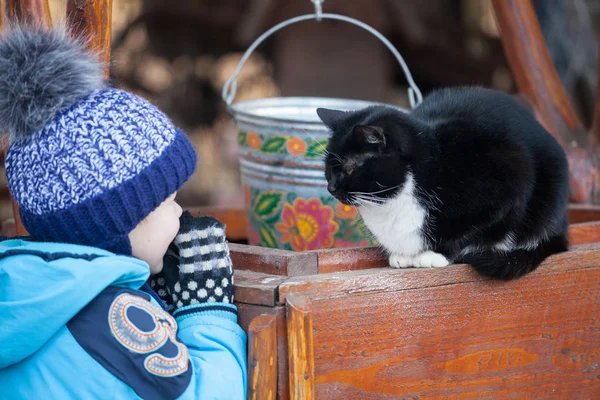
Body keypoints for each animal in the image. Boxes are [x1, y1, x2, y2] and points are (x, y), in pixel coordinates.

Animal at [316, 86, 568, 280]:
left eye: (349, 169)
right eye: (328, 169)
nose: (331, 187)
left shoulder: (509, 177)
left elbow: (474, 230)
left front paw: (435, 254)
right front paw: (403, 256)